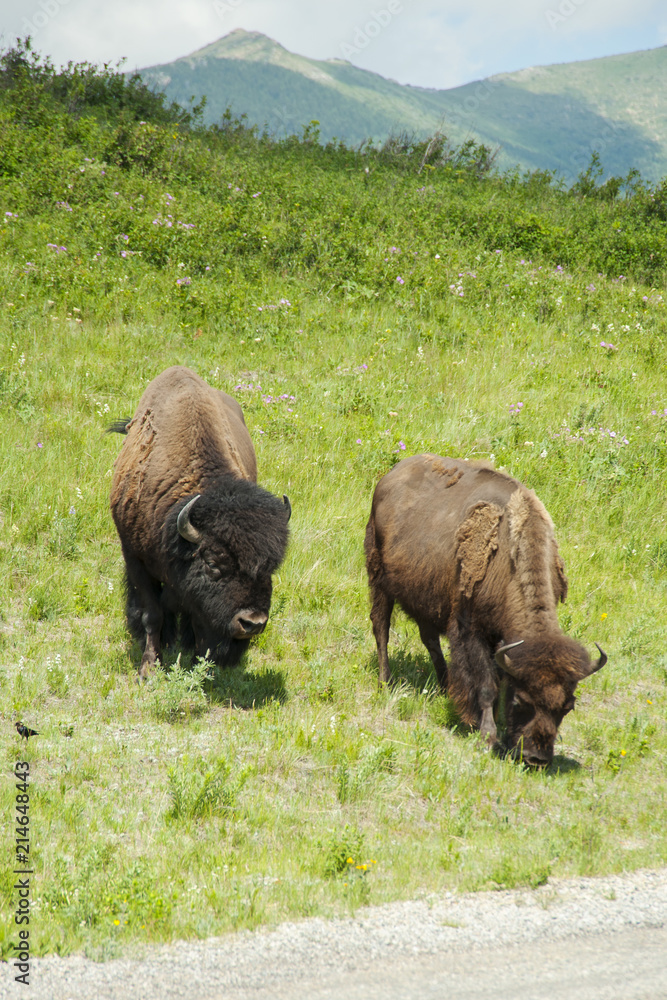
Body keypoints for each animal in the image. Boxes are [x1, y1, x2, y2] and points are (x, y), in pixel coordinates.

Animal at [109, 364, 290, 676]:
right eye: (213, 563)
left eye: (271, 567)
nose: (252, 623)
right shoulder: (135, 558)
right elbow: (152, 614)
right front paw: (149, 669)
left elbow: (196, 619)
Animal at [368, 454, 608, 764]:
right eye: (521, 701)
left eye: (567, 707)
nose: (536, 758)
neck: (509, 563)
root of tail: (390, 475)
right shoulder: (471, 629)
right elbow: (487, 685)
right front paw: (487, 736)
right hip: (378, 581)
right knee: (381, 629)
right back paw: (385, 683)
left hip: (426, 598)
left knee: (429, 640)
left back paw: (444, 687)